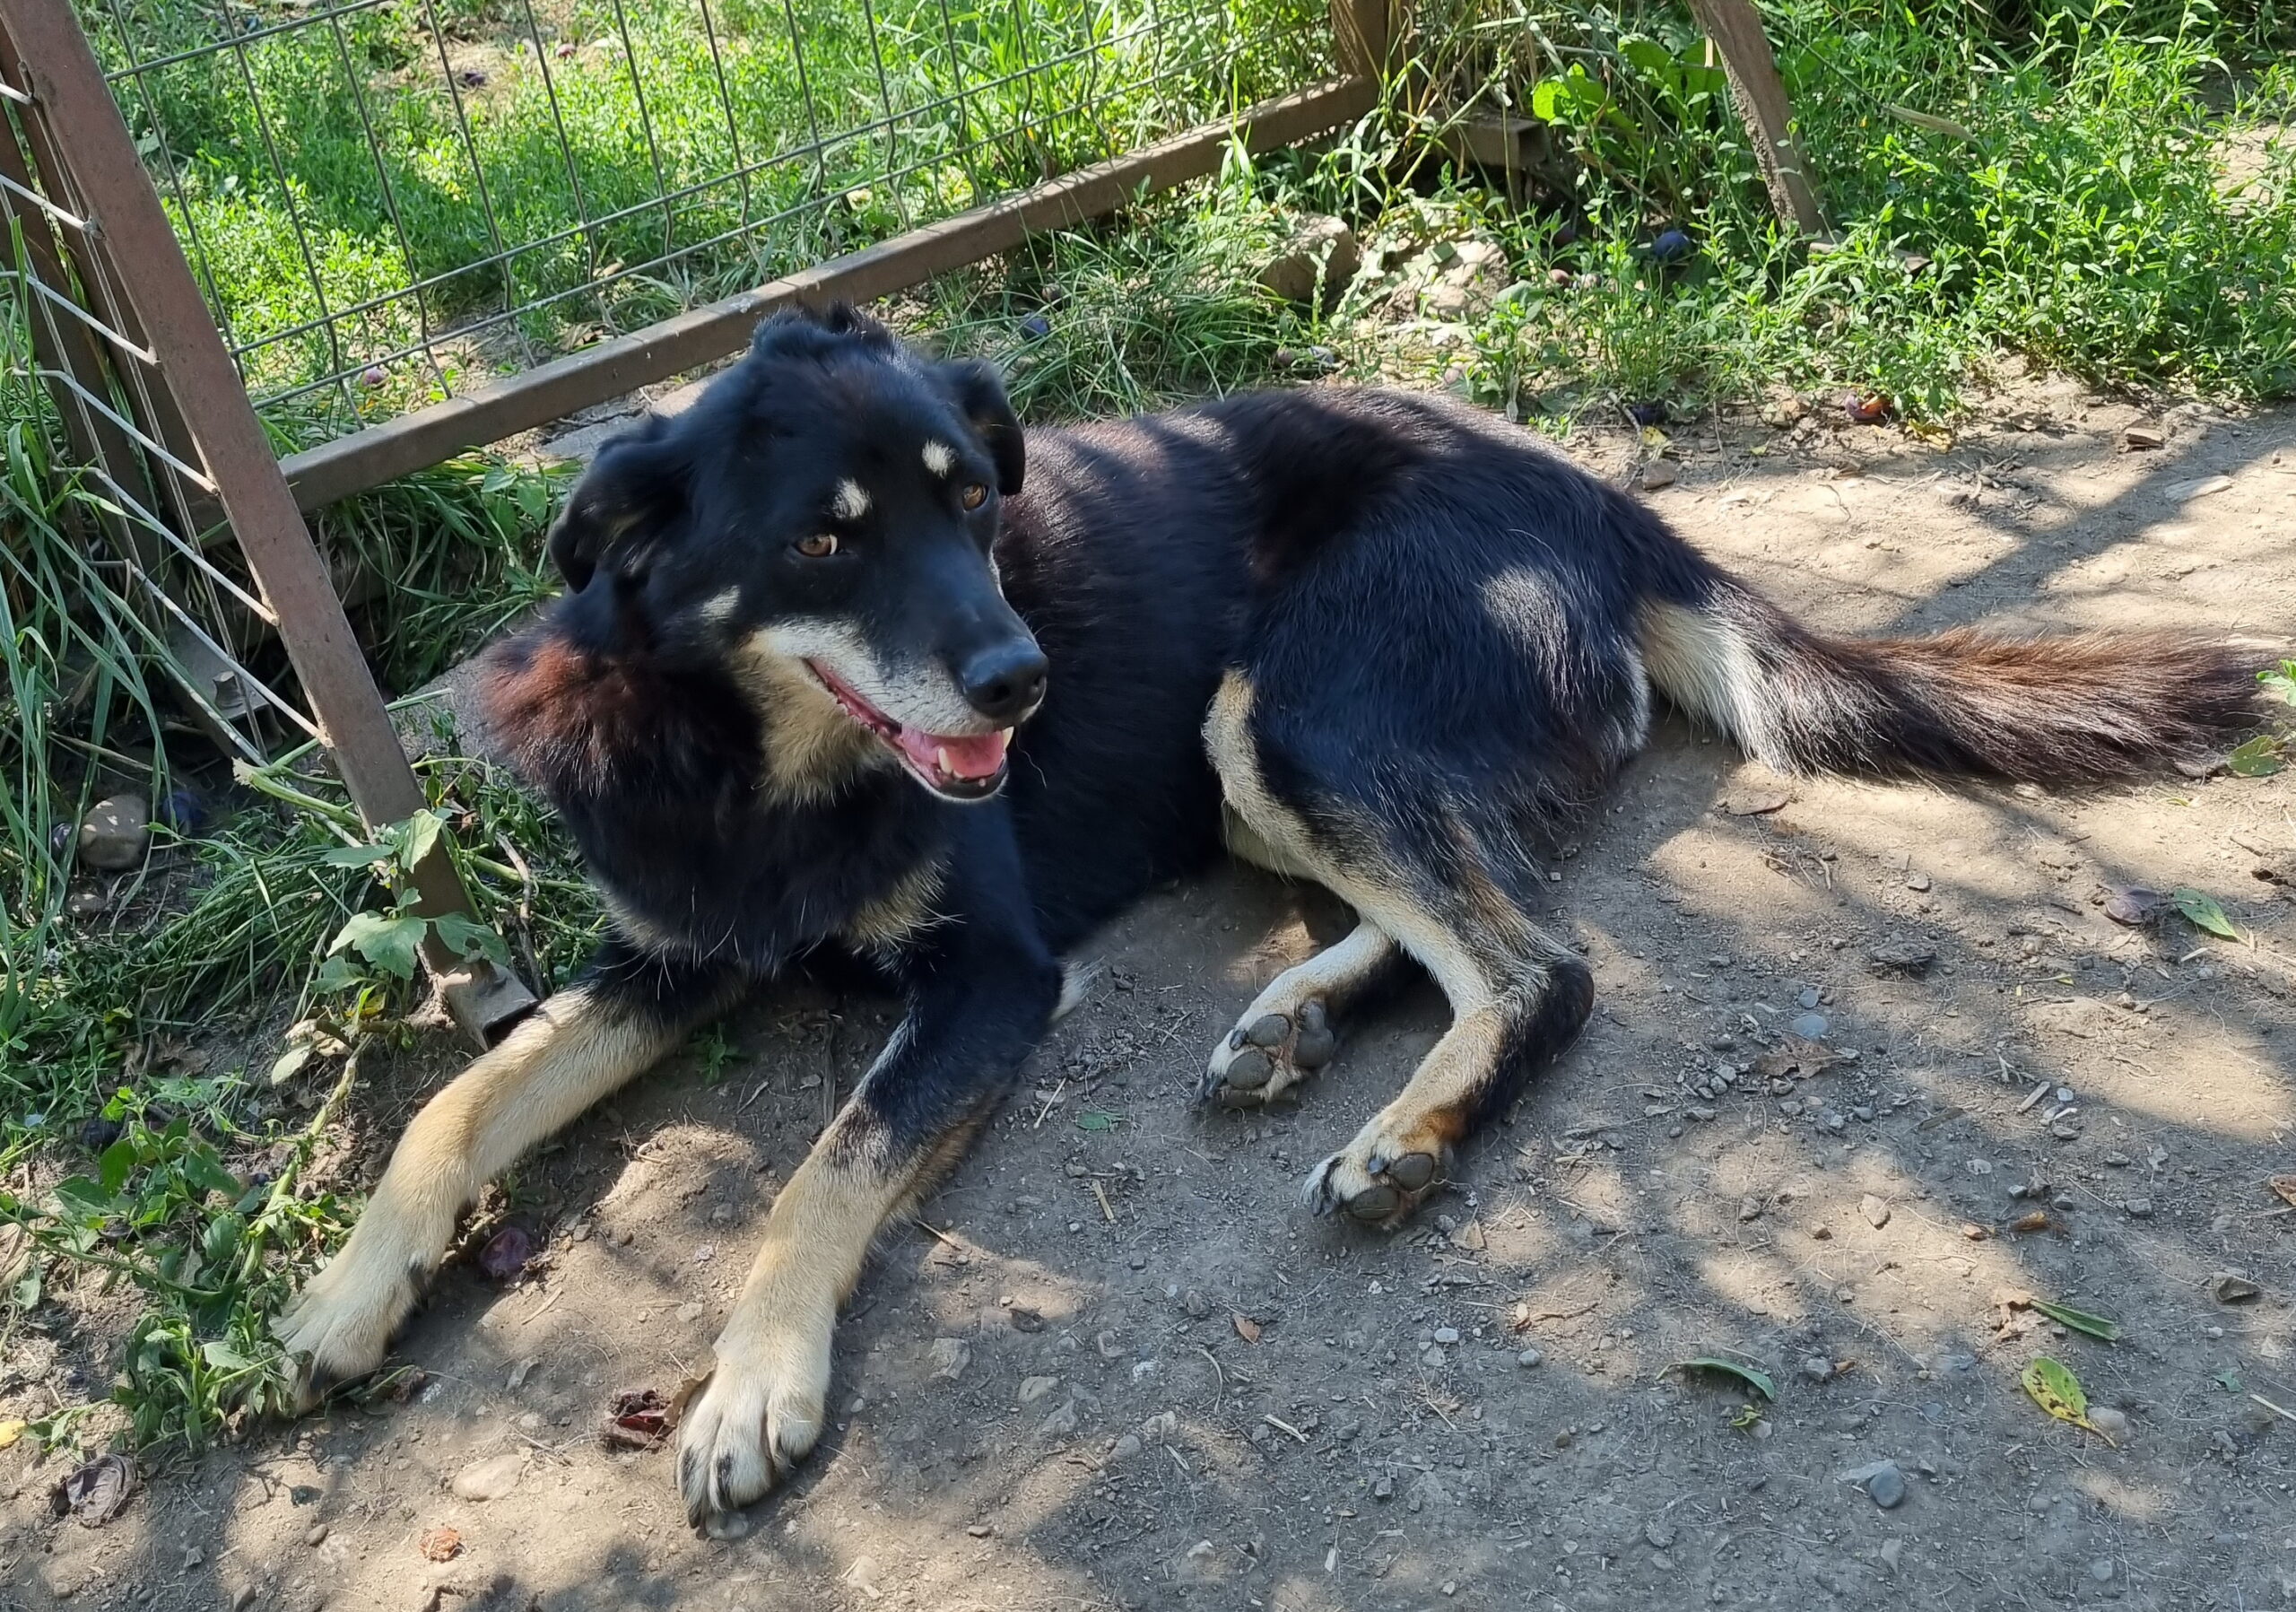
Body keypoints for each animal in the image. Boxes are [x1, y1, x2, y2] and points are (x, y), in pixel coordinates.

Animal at [274, 304, 2256, 1524]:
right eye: (828, 537)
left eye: (972, 505)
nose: (1020, 681)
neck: (753, 761)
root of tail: (1619, 509)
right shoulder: (666, 950)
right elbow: (462, 1101)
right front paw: (355, 1294)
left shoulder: (990, 975)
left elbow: (818, 1171)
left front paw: (750, 1385)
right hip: (1256, 760)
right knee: (1454, 912)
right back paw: (1290, 1023)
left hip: (1284, 707)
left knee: (1537, 961)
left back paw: (1407, 1134)